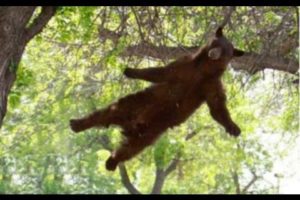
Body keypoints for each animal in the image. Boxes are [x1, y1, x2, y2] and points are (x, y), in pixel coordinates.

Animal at [71, 26, 246, 170]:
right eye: (216, 44)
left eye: (226, 52)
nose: (214, 53)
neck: (204, 70)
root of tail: (130, 125)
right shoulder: (185, 66)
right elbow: (160, 72)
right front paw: (130, 70)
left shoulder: (211, 84)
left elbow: (217, 106)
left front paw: (233, 128)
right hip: (137, 102)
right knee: (107, 112)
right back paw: (78, 123)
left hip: (151, 131)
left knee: (131, 149)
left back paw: (112, 162)